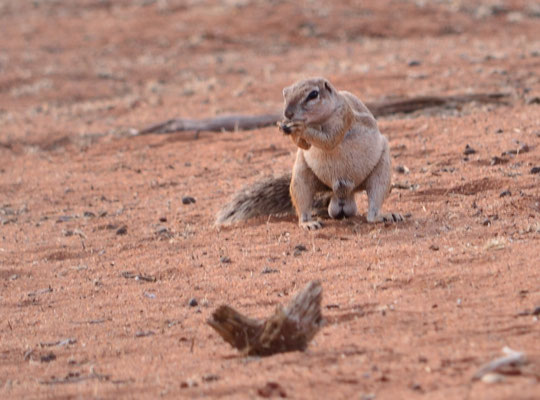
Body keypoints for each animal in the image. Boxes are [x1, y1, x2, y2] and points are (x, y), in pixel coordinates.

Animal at [215, 76, 400, 230]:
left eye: (313, 94)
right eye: (284, 94)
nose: (287, 113)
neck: (317, 122)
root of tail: (342, 193)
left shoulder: (344, 115)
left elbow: (330, 140)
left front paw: (300, 127)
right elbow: (304, 146)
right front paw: (286, 128)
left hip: (381, 172)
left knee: (374, 203)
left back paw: (383, 216)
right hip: (301, 178)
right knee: (303, 205)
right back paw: (309, 222)